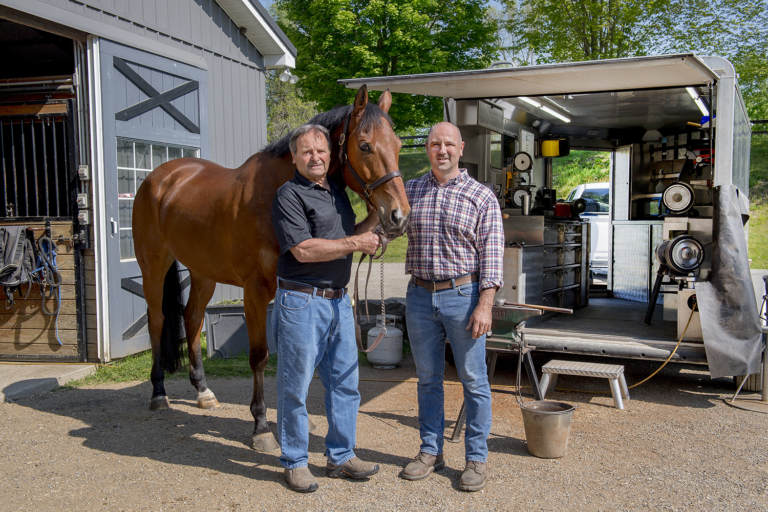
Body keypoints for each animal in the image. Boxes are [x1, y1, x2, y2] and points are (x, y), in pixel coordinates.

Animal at [133, 86, 412, 450]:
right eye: (365, 145)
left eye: (398, 145)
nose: (399, 217)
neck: (273, 194)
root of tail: (159, 177)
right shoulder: (254, 292)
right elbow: (260, 357)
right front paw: (262, 427)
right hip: (153, 265)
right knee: (157, 321)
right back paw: (158, 392)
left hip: (203, 272)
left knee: (192, 318)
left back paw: (204, 391)